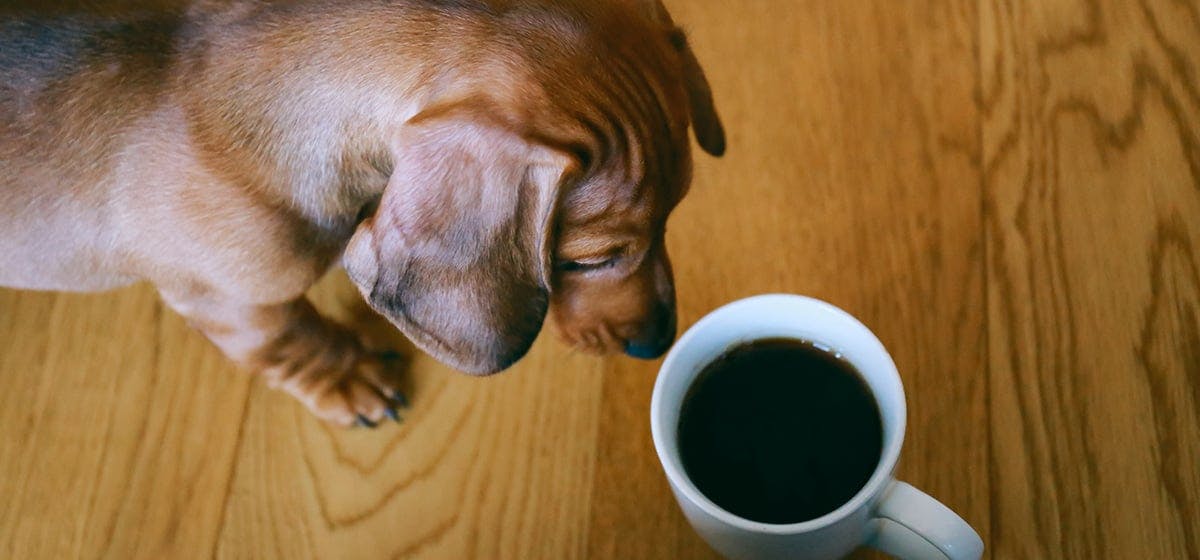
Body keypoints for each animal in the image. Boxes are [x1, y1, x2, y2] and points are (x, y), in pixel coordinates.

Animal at [0, 0, 720, 426]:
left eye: (677, 211)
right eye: (587, 261)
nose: (658, 341)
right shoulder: (232, 300)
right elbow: (292, 341)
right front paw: (350, 379)